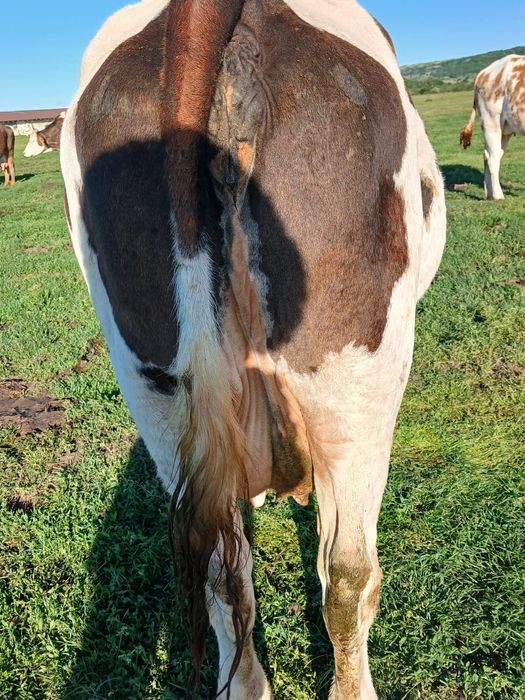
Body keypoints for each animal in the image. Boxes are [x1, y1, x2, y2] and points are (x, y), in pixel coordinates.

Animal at [460, 54, 525, 200]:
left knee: (488, 155)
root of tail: (483, 73)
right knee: (492, 159)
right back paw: (497, 195)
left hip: (504, 129)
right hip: (491, 121)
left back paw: (489, 193)